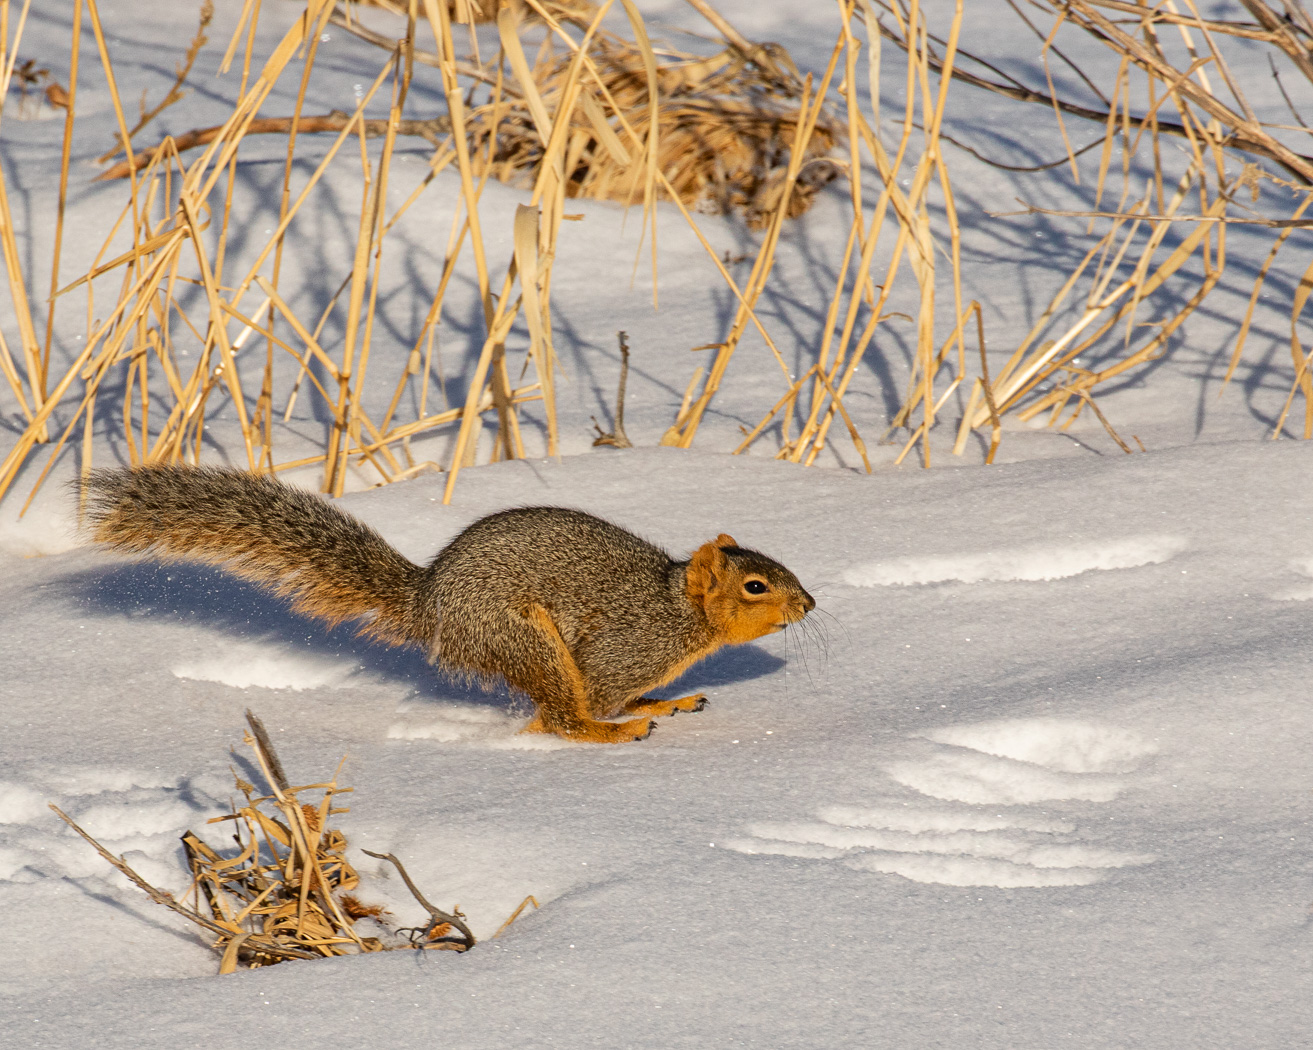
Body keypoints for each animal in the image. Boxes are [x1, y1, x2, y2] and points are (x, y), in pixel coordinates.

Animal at [82, 465, 815, 743]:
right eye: (755, 586)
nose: (808, 603)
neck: (681, 615)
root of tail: (428, 601)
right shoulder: (622, 650)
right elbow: (602, 693)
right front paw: (632, 714)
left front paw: (667, 699)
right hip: (521, 638)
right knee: (559, 719)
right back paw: (614, 732)